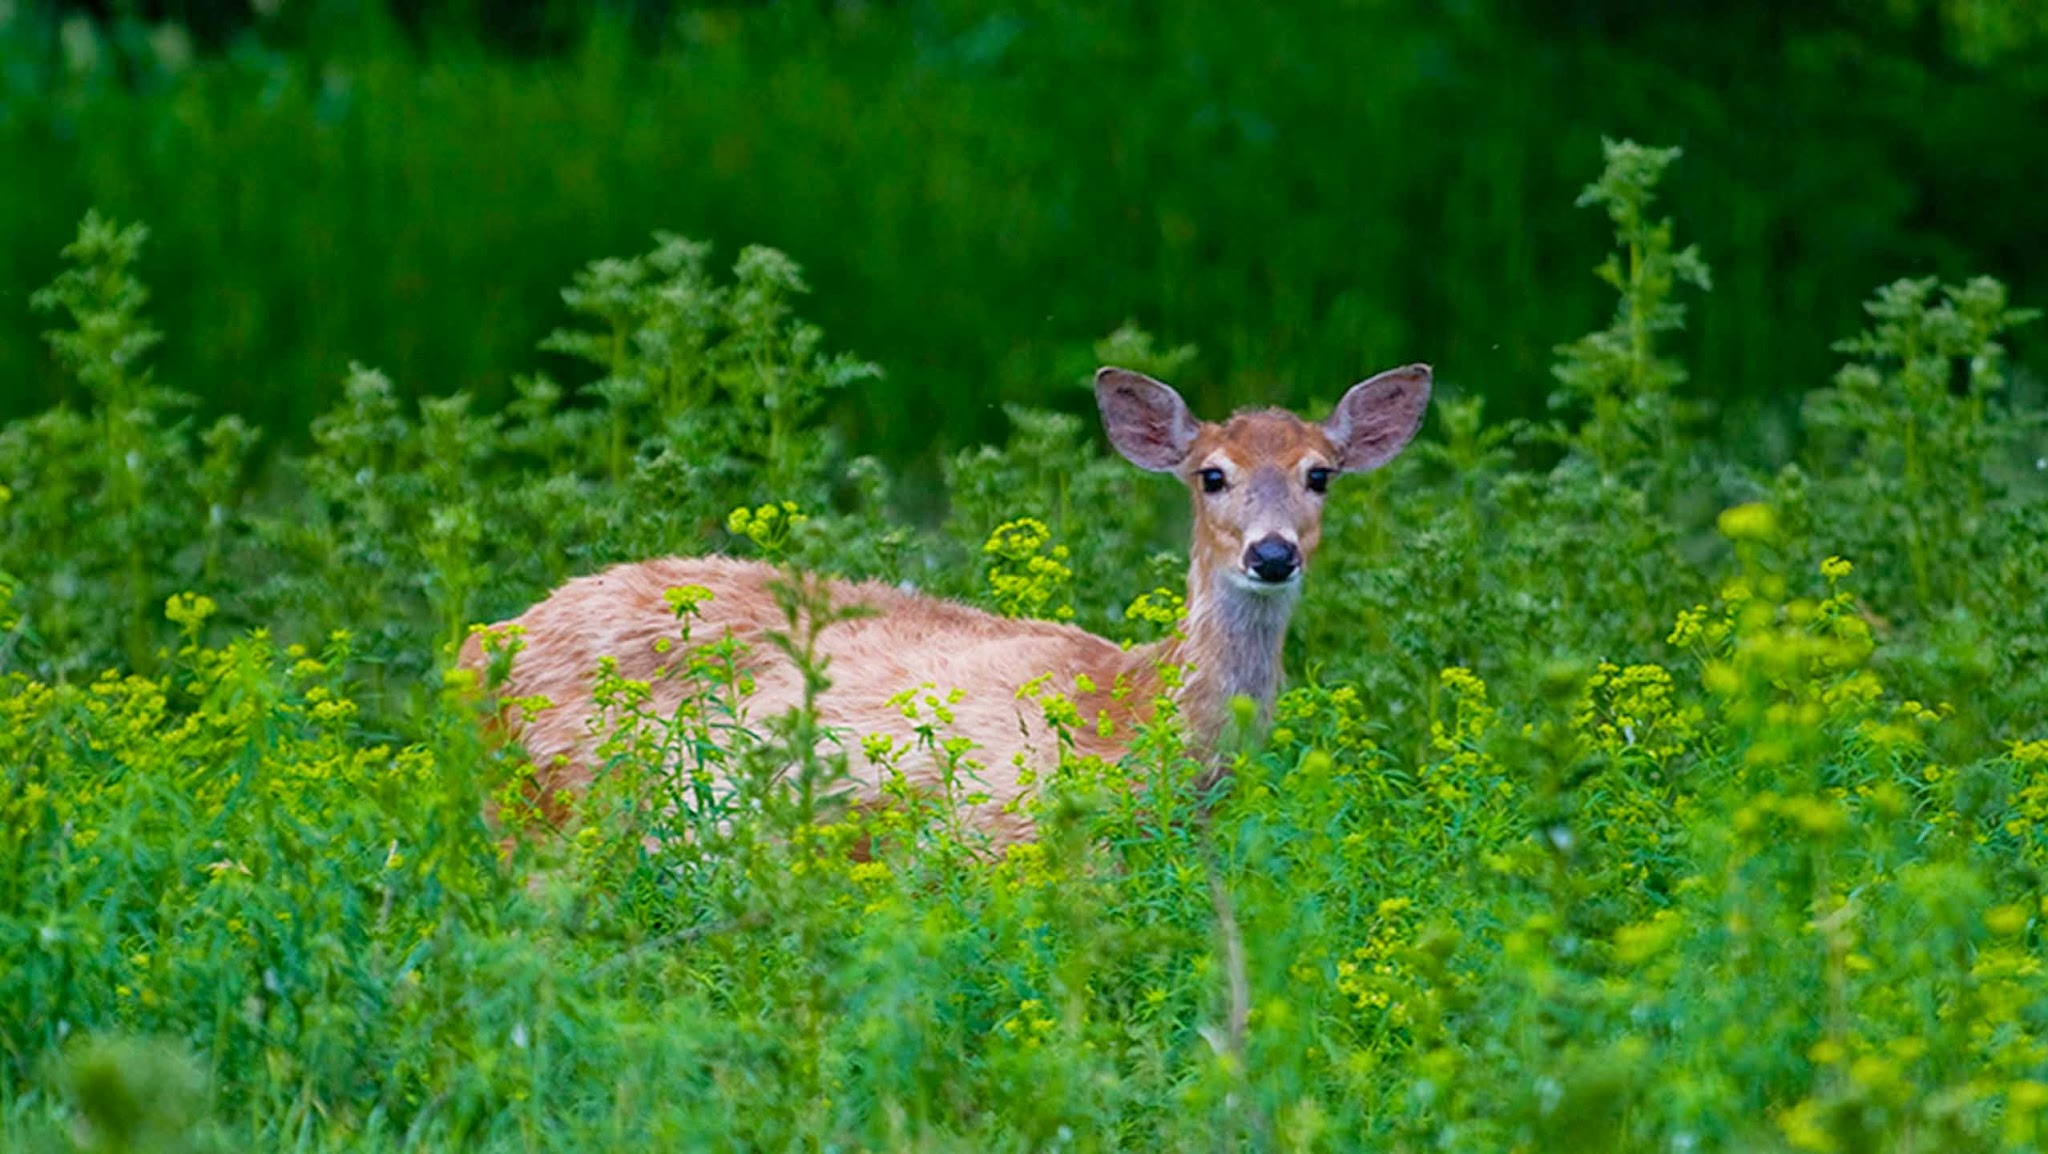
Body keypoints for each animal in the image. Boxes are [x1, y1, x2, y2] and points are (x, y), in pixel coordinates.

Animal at [458, 364, 1433, 844]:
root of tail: (479, 647)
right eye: (1212, 475)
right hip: (559, 801)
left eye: (1321, 474)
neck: (1137, 710)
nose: (1272, 554)